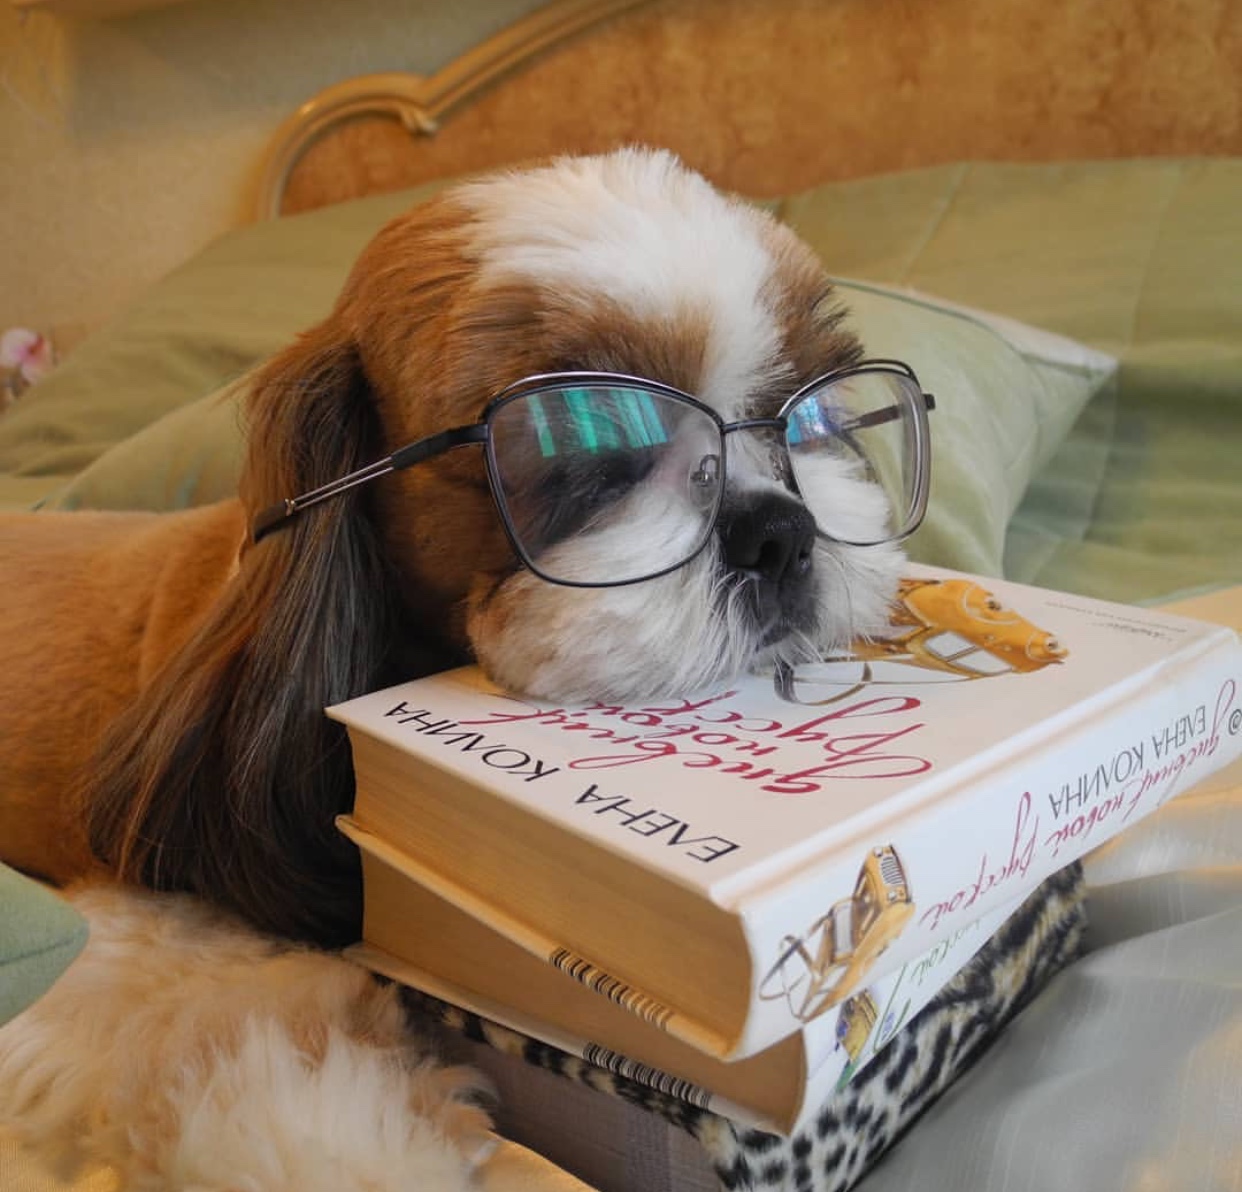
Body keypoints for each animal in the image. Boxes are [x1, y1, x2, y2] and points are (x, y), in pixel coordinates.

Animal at [0, 149, 933, 1182]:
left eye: (809, 415)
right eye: (588, 449)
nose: (779, 530)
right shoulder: (153, 922)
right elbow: (238, 1037)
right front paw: (368, 1144)